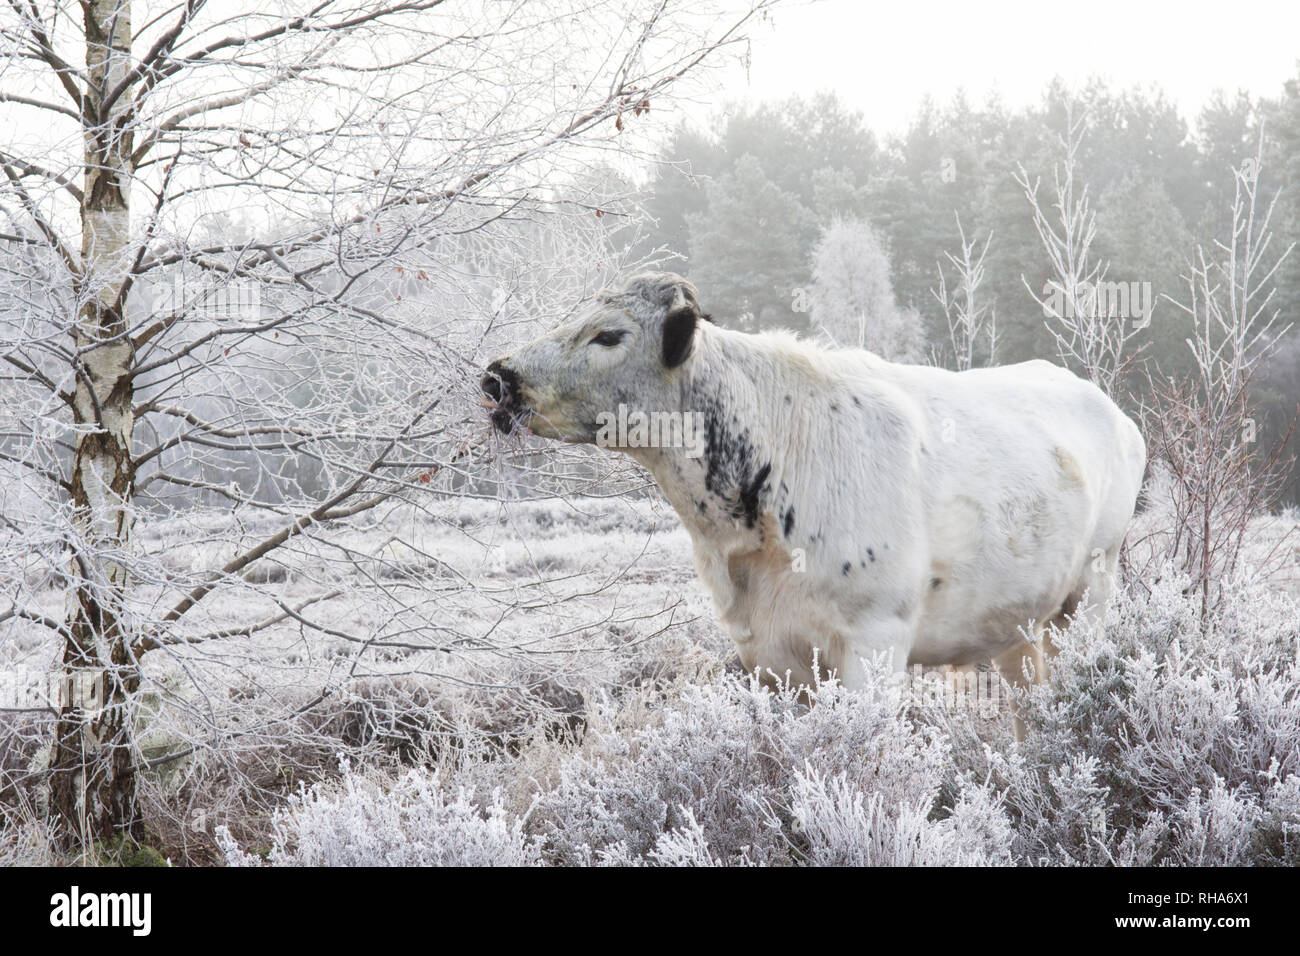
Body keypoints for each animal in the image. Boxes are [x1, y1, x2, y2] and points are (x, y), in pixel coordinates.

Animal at [481, 273, 1146, 695]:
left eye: (608, 334)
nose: (496, 378)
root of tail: (1109, 407)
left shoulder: (876, 639)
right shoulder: (766, 651)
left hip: (1088, 597)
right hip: (1016, 622)